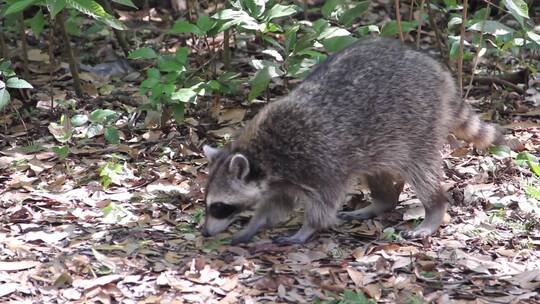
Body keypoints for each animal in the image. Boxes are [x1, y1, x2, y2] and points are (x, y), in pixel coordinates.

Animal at [200, 36, 504, 245]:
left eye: (219, 206)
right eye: (208, 204)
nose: (204, 232)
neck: (262, 155)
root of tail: (439, 71)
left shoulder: (317, 161)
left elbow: (324, 202)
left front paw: (307, 228)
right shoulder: (282, 180)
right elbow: (276, 206)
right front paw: (254, 224)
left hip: (419, 120)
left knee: (421, 172)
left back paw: (433, 210)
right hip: (381, 139)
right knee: (377, 171)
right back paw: (381, 202)